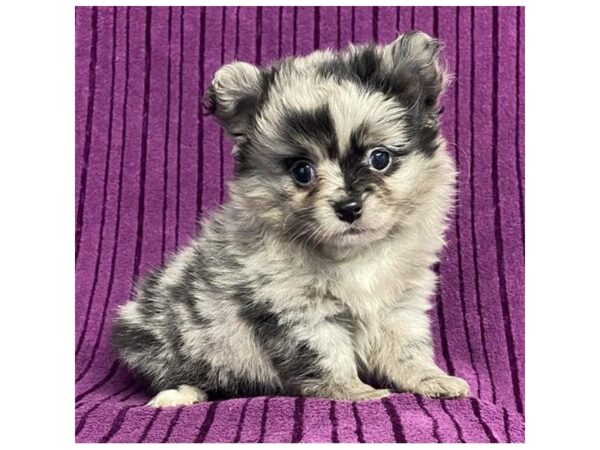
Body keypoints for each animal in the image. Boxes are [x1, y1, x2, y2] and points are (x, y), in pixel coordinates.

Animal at [112, 29, 468, 406]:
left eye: (380, 158)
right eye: (302, 171)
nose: (348, 207)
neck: (353, 257)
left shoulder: (401, 304)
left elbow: (407, 348)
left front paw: (431, 379)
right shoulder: (297, 308)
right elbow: (327, 354)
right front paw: (354, 391)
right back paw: (178, 394)